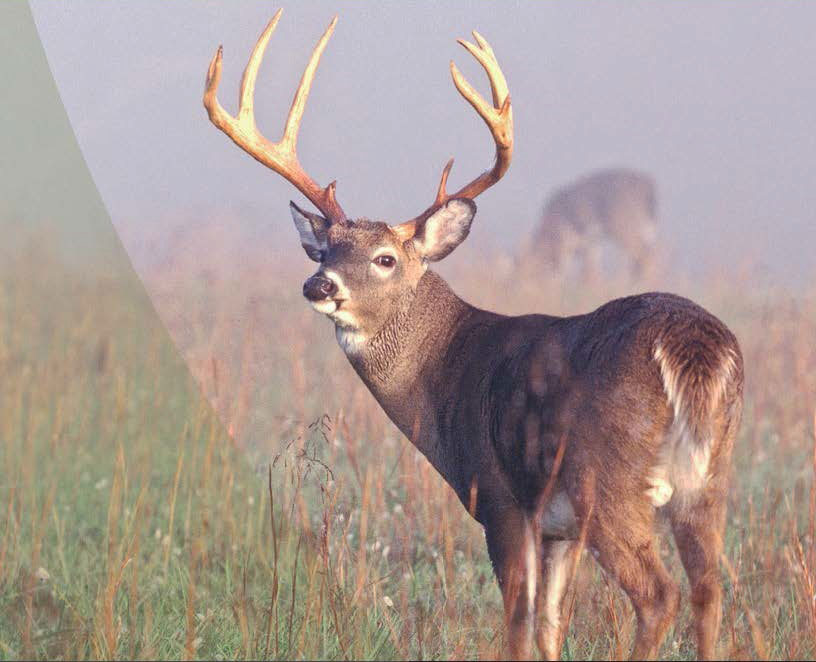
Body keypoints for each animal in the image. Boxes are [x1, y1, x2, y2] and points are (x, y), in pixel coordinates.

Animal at [524, 169, 660, 282]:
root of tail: (648, 185)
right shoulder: (591, 244)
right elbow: (592, 273)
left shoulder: (573, 243)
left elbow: (583, 274)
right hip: (645, 230)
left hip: (623, 228)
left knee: (647, 257)